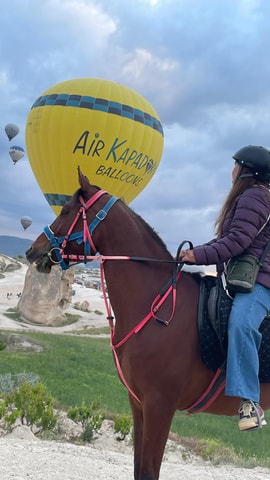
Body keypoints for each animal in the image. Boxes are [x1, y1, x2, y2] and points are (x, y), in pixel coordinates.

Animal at [25, 168, 270, 476]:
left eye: (66, 210)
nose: (33, 251)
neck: (157, 306)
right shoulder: (139, 404)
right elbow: (139, 469)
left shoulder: (159, 407)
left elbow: (150, 470)